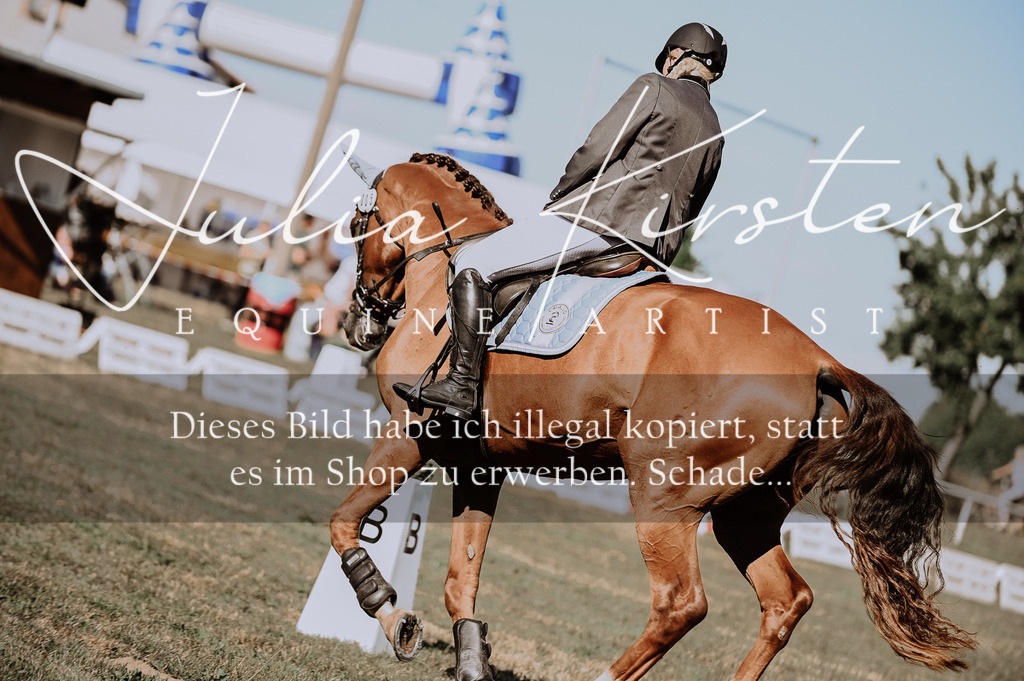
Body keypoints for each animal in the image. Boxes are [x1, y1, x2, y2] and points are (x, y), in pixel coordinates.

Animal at [329, 152, 974, 681]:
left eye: (356, 227)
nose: (356, 323)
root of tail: (818, 360)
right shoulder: (479, 465)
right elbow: (460, 583)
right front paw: (470, 664)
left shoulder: (410, 435)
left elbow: (345, 524)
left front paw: (392, 617)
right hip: (745, 514)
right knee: (785, 600)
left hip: (665, 498)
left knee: (680, 602)